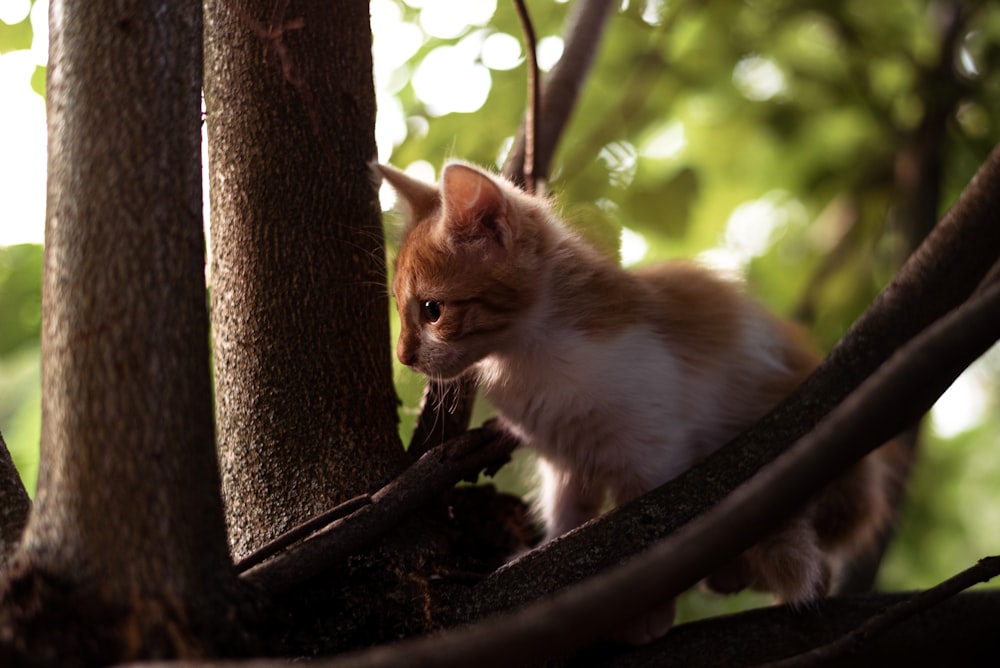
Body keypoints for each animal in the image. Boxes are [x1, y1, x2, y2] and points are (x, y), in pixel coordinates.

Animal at [378, 160, 904, 640]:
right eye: (402, 311)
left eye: (432, 310)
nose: (403, 356)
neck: (530, 353)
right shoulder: (565, 463)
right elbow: (568, 519)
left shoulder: (655, 449)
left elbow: (648, 535)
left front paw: (644, 612)